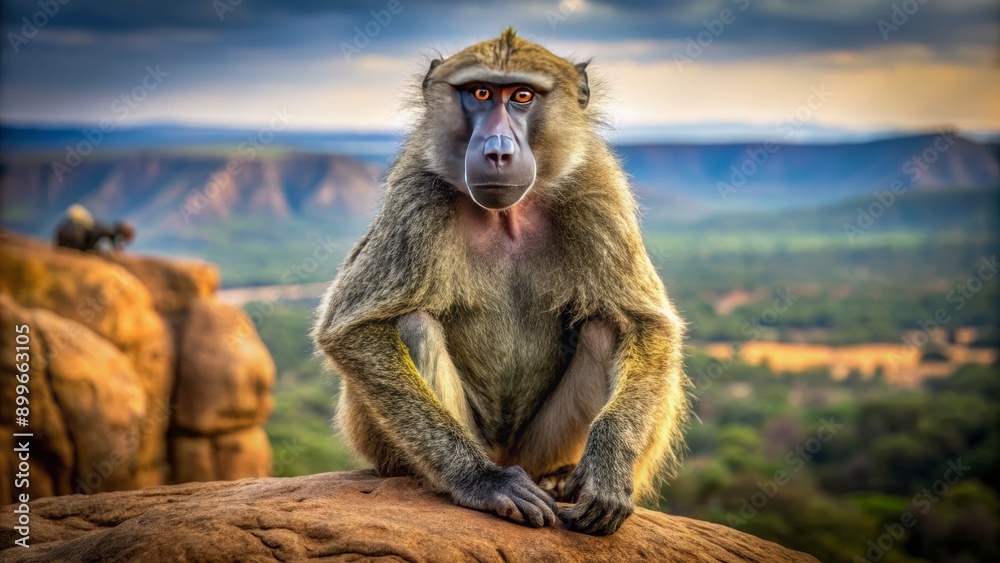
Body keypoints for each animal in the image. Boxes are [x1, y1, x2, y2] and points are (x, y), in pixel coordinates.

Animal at [313, 28, 689, 536]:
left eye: (522, 96)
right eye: (479, 93)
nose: (497, 152)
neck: (506, 214)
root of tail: (512, 454)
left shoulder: (596, 191)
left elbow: (645, 324)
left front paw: (607, 472)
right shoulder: (417, 196)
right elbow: (351, 329)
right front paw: (483, 482)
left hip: (542, 447)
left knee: (605, 326)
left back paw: (560, 480)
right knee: (412, 324)